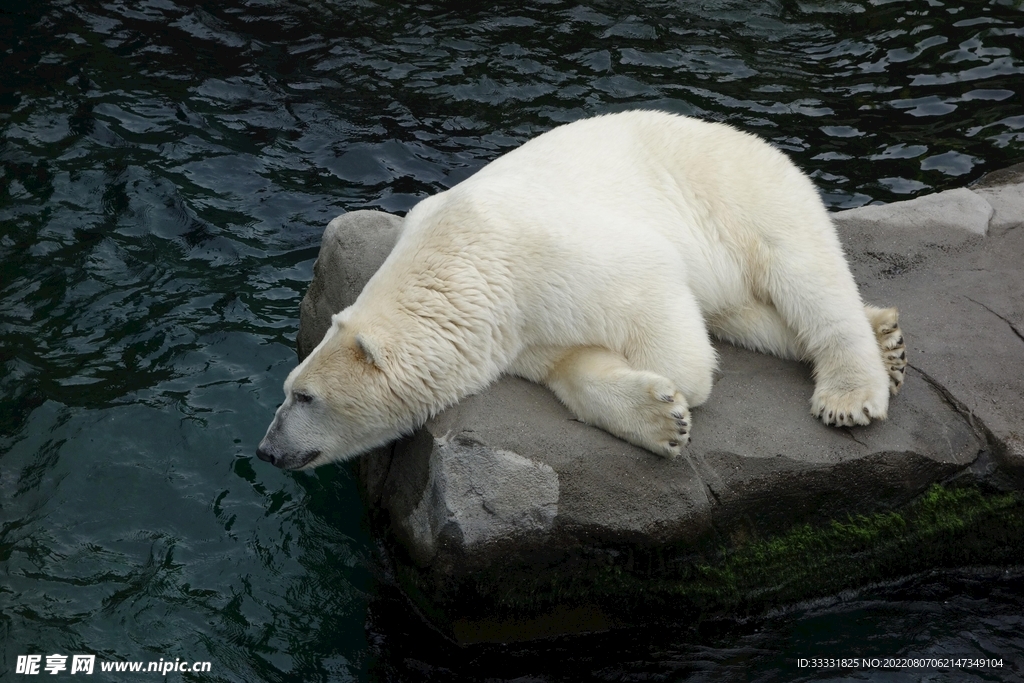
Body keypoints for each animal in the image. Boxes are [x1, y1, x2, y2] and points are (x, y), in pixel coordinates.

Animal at [256, 112, 905, 473]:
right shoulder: (511, 329)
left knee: (805, 276)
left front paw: (680, 391)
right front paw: (658, 419)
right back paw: (886, 337)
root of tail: (748, 136)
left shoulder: (548, 257)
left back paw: (852, 391)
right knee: (751, 314)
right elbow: (567, 364)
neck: (460, 263)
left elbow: (656, 295)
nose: (266, 450)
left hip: (740, 194)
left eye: (303, 396)